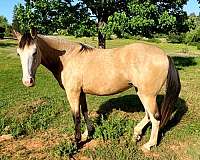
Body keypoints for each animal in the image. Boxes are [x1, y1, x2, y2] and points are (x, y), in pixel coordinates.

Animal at [13, 29, 180, 151]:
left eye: (35, 52)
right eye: (18, 53)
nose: (27, 81)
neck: (67, 58)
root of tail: (165, 55)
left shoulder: (72, 93)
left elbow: (76, 116)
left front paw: (76, 143)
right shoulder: (81, 92)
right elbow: (85, 111)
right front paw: (88, 133)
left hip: (147, 95)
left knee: (156, 118)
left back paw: (149, 145)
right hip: (141, 92)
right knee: (148, 115)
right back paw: (136, 134)